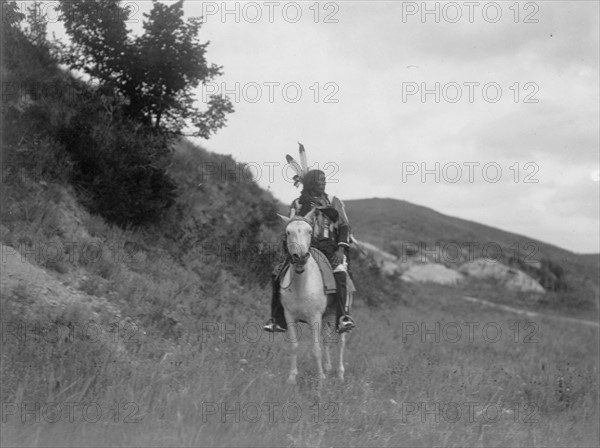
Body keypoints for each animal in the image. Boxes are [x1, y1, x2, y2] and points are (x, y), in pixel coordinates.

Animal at [276, 210, 346, 384]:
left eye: (309, 231)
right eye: (288, 232)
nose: (300, 256)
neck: (301, 285)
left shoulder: (315, 317)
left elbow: (315, 349)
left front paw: (320, 379)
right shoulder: (289, 316)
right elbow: (294, 346)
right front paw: (292, 378)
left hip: (339, 315)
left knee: (341, 342)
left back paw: (340, 374)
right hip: (328, 315)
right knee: (327, 341)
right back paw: (328, 368)